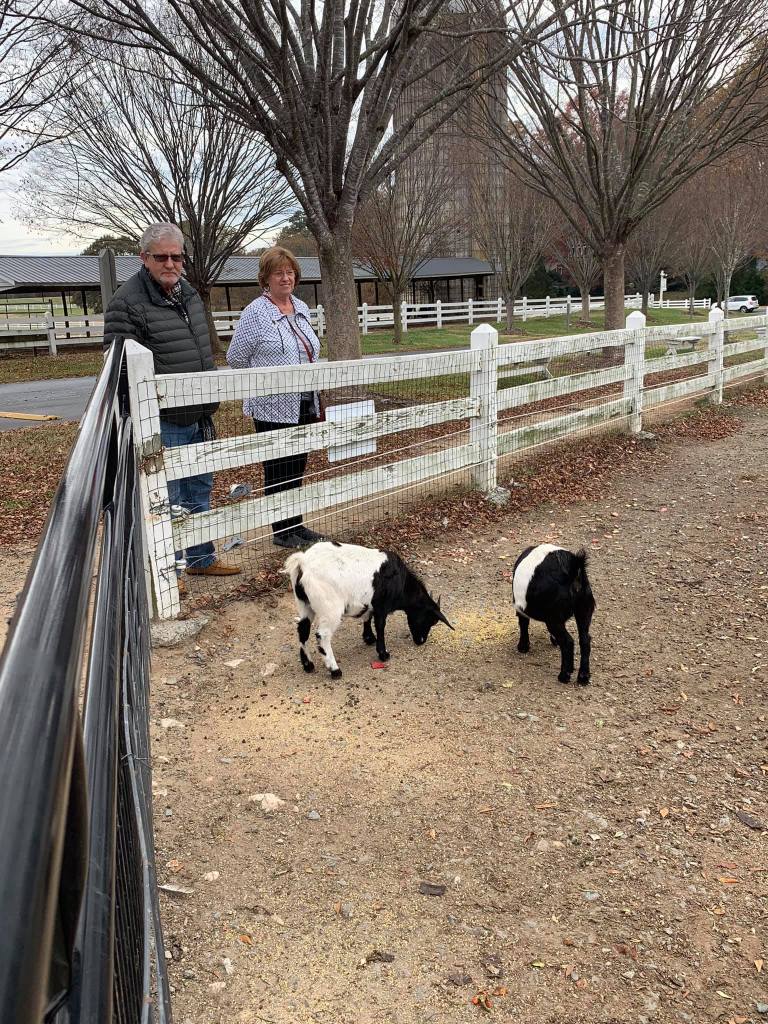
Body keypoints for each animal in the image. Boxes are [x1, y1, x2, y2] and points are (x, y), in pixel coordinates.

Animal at [284, 541, 453, 677]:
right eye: (429, 620)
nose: (421, 641)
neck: (401, 582)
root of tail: (303, 562)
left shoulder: (370, 604)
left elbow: (367, 617)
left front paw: (369, 638)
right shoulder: (382, 606)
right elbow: (380, 626)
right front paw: (383, 653)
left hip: (304, 604)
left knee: (303, 629)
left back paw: (308, 665)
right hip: (330, 608)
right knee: (322, 635)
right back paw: (335, 670)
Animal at [512, 544, 595, 684]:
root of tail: (573, 569)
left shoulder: (521, 608)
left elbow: (523, 624)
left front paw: (523, 647)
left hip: (553, 619)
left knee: (568, 642)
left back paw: (564, 676)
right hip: (583, 609)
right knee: (585, 640)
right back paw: (583, 676)